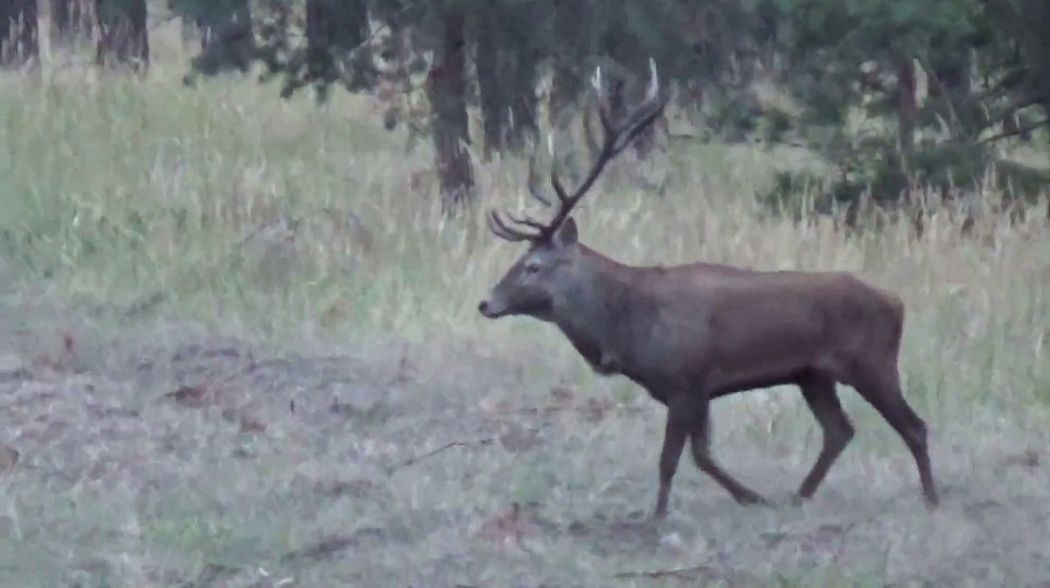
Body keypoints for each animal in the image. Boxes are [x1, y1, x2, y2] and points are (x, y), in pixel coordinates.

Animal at [480, 59, 940, 518]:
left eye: (534, 267)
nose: (487, 303)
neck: (629, 329)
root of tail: (897, 303)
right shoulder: (693, 390)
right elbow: (701, 455)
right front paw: (750, 497)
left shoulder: (686, 380)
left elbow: (672, 458)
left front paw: (659, 515)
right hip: (813, 375)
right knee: (840, 430)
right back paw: (799, 495)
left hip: (872, 361)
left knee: (913, 425)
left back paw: (931, 498)